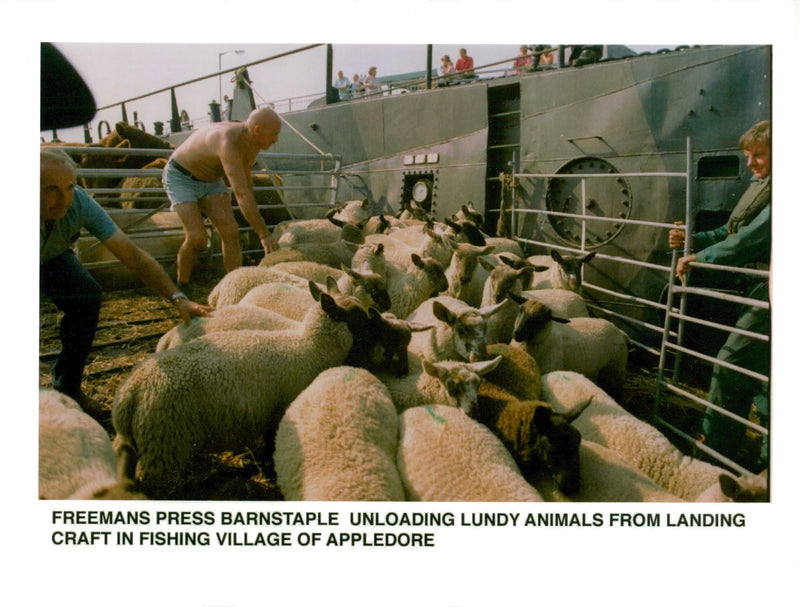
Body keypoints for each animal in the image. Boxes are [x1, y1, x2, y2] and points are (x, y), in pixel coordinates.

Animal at [112, 282, 368, 496]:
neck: (312, 347)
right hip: (163, 444)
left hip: (139, 442)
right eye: (360, 315)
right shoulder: (280, 412)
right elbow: (271, 445)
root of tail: (129, 395)